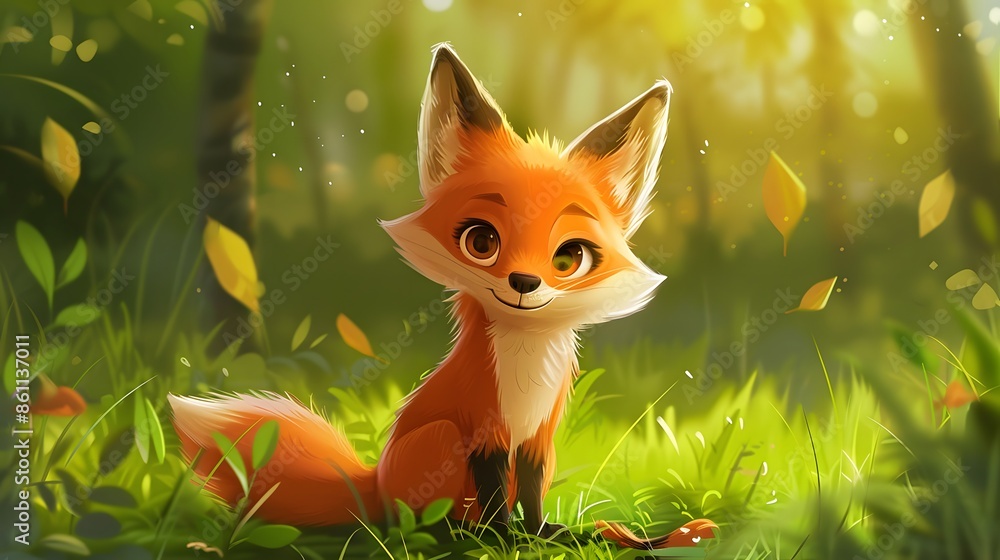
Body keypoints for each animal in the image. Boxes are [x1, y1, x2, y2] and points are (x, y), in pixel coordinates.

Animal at [169, 43, 715, 548]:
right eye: (481, 241)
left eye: (569, 258)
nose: (524, 283)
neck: (525, 370)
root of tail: (374, 483)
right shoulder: (483, 428)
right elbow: (495, 493)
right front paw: (504, 539)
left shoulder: (539, 437)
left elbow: (533, 492)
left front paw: (541, 534)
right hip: (442, 440)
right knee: (412, 523)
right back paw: (454, 531)